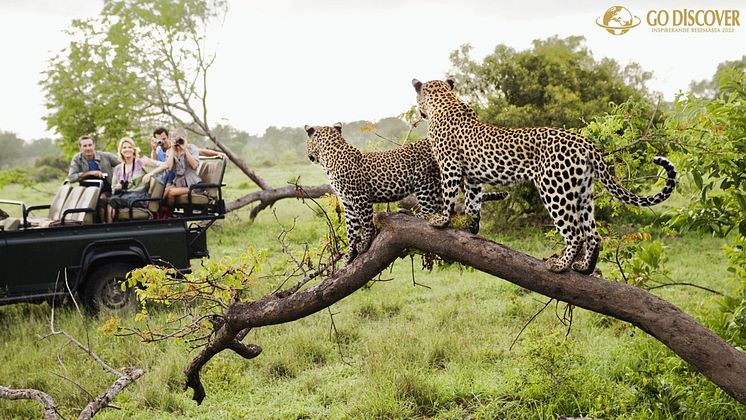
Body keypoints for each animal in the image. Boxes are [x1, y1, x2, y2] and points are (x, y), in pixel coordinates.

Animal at [302, 122, 506, 262]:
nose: (308, 156)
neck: (330, 157)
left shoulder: (359, 198)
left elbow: (366, 223)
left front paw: (365, 243)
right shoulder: (348, 202)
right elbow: (351, 229)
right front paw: (349, 255)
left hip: (425, 181)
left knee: (431, 210)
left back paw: (410, 213)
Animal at [410, 78, 676, 276]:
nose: (419, 112)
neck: (445, 101)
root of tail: (586, 143)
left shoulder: (449, 166)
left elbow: (449, 194)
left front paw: (440, 220)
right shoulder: (473, 177)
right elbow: (473, 202)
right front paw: (471, 226)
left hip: (554, 189)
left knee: (575, 233)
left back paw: (560, 265)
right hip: (582, 192)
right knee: (593, 234)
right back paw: (583, 267)